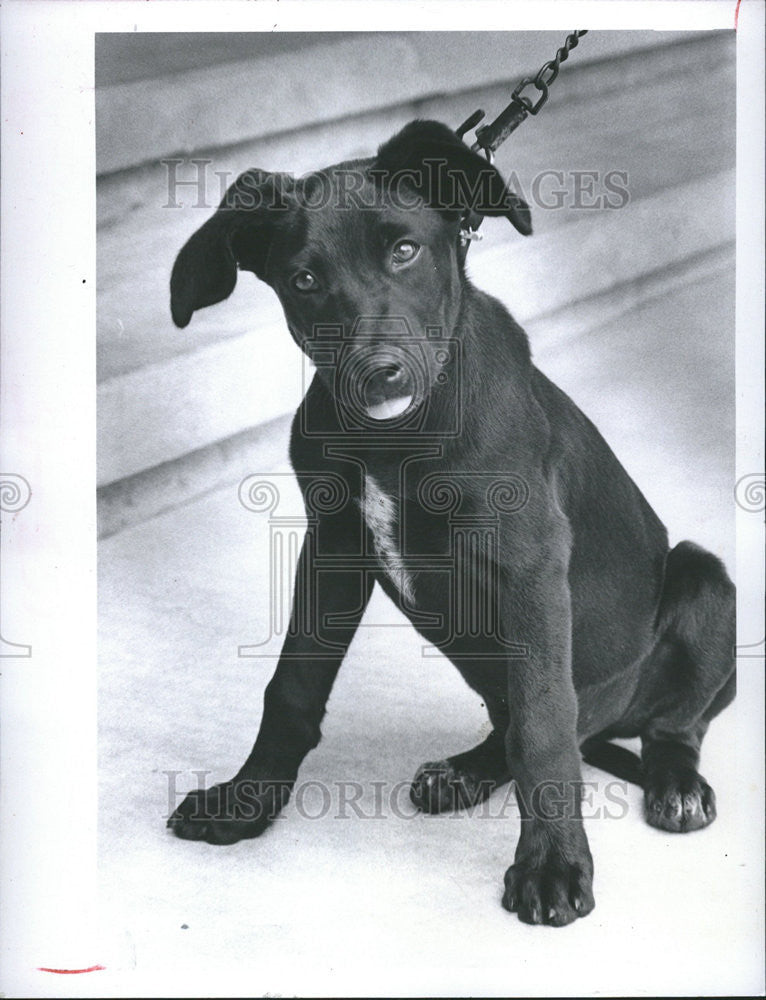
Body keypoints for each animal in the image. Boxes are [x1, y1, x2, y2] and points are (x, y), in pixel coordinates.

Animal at [170, 121, 736, 924]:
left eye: (404, 251)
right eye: (304, 280)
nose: (378, 373)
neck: (396, 437)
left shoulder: (530, 568)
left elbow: (542, 727)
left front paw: (553, 864)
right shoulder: (333, 547)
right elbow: (292, 686)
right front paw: (247, 800)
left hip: (703, 581)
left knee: (663, 724)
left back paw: (676, 783)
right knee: (518, 723)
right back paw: (467, 770)